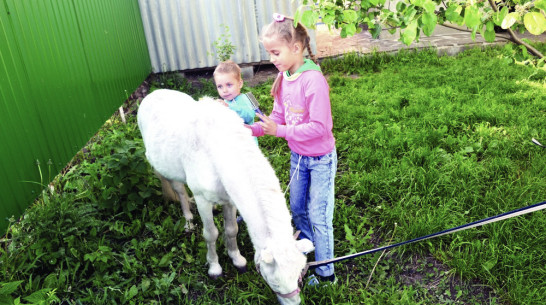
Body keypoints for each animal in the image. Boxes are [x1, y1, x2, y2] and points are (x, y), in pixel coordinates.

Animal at [136, 89, 312, 302]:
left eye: (299, 272)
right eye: (274, 282)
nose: (294, 302)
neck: (216, 150)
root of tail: (153, 93)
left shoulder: (230, 200)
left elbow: (231, 230)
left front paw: (237, 259)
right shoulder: (202, 199)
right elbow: (211, 234)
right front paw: (214, 268)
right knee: (179, 190)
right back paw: (188, 221)